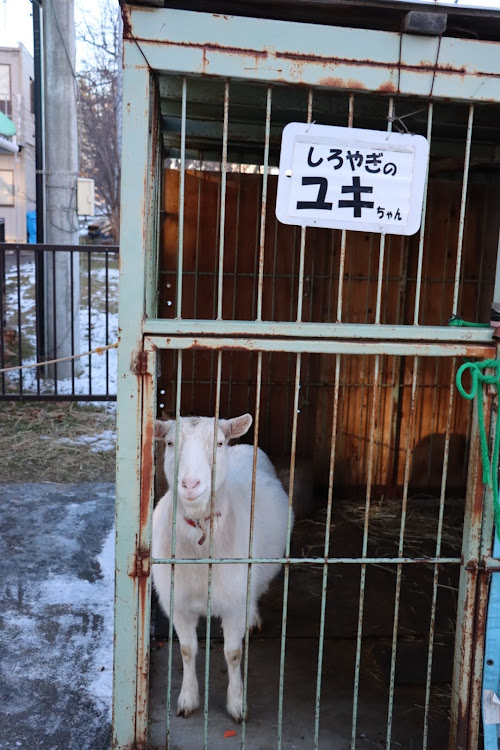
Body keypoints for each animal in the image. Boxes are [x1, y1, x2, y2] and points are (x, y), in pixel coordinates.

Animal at [152, 414, 292, 724]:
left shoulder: (233, 603)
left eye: (218, 443)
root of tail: (244, 446)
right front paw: (187, 699)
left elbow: (233, 653)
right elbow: (187, 650)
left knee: (255, 592)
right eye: (169, 443)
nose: (190, 484)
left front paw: (237, 704)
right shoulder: (178, 603)